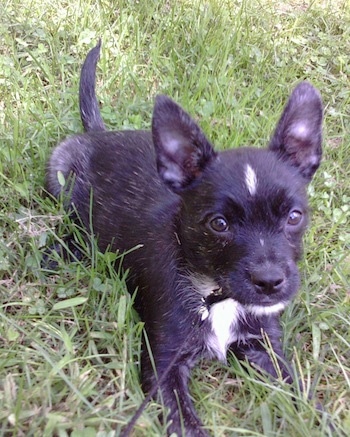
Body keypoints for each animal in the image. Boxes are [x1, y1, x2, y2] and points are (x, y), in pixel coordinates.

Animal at [45, 41, 322, 436]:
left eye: (294, 217)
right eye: (219, 224)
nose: (269, 282)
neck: (216, 296)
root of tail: (98, 133)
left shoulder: (264, 348)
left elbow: (302, 395)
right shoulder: (164, 367)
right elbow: (187, 425)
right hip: (59, 174)